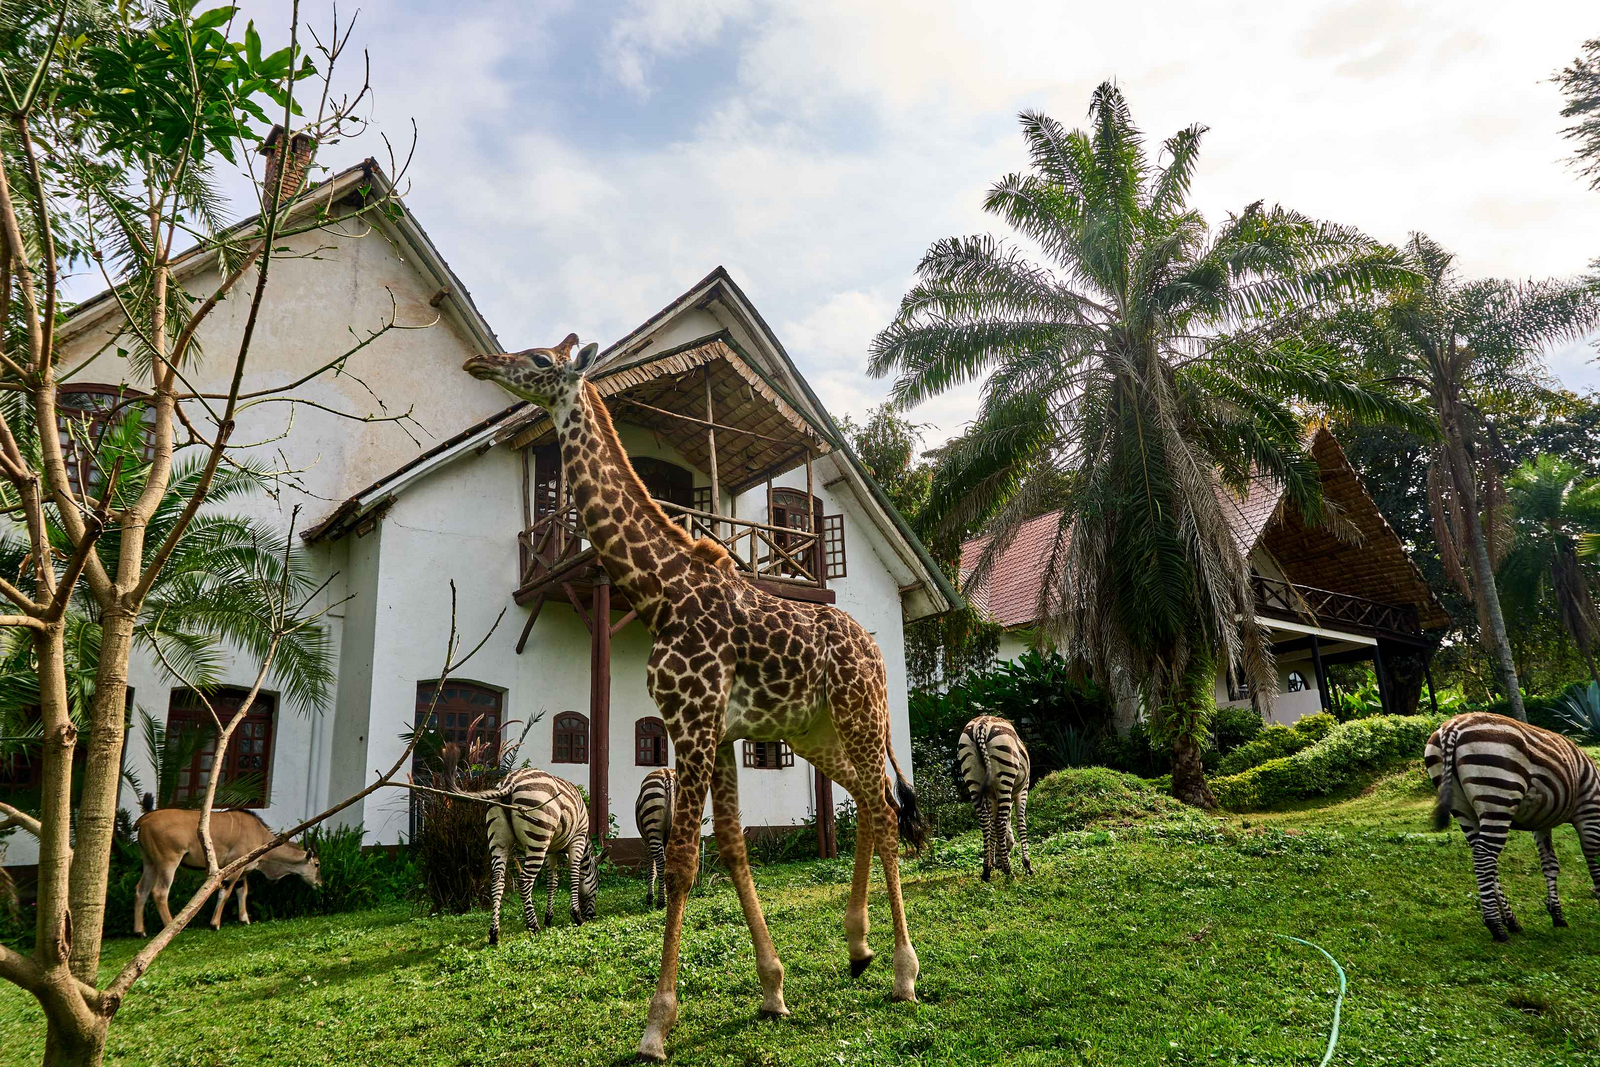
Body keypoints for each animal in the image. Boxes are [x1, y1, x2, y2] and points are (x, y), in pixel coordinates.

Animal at [464, 334, 925, 1061]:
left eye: (539, 362)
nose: (482, 365)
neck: (661, 591)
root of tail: (877, 650)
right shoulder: (725, 730)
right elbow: (732, 846)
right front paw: (772, 990)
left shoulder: (694, 717)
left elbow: (683, 861)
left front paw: (656, 1025)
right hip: (813, 730)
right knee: (871, 801)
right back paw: (858, 949)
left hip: (860, 713)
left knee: (880, 806)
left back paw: (904, 971)